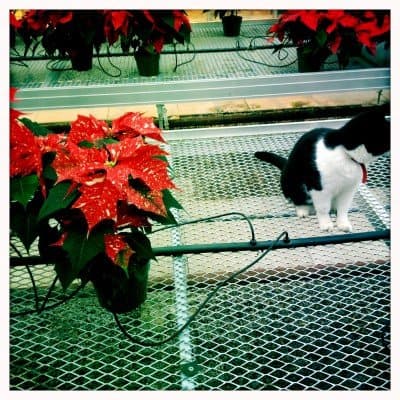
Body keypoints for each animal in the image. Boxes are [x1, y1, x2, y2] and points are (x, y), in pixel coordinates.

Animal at [255, 111, 390, 233]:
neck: (346, 156)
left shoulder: (349, 189)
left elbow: (343, 208)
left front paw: (343, 223)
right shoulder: (319, 188)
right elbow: (323, 208)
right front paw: (326, 224)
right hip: (293, 181)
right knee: (297, 198)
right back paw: (303, 209)